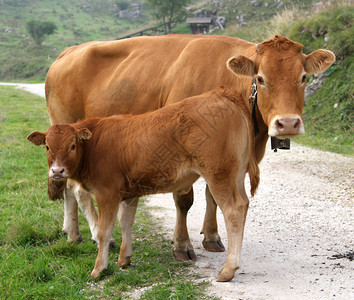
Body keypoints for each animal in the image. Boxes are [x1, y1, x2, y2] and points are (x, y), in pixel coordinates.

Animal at [28, 88, 260, 282]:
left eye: (73, 145)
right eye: (47, 146)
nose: (57, 171)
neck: (96, 144)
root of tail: (222, 94)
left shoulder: (106, 194)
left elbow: (105, 231)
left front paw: (98, 269)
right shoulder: (129, 193)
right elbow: (125, 223)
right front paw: (124, 259)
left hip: (219, 176)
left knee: (233, 210)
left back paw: (228, 270)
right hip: (236, 176)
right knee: (244, 204)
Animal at [44, 34, 334, 260]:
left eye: (304, 77)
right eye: (261, 78)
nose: (288, 123)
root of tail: (68, 52)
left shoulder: (224, 155)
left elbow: (213, 196)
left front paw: (212, 237)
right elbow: (184, 200)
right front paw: (182, 246)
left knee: (66, 184)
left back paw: (72, 232)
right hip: (68, 134)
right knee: (74, 188)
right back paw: (93, 234)